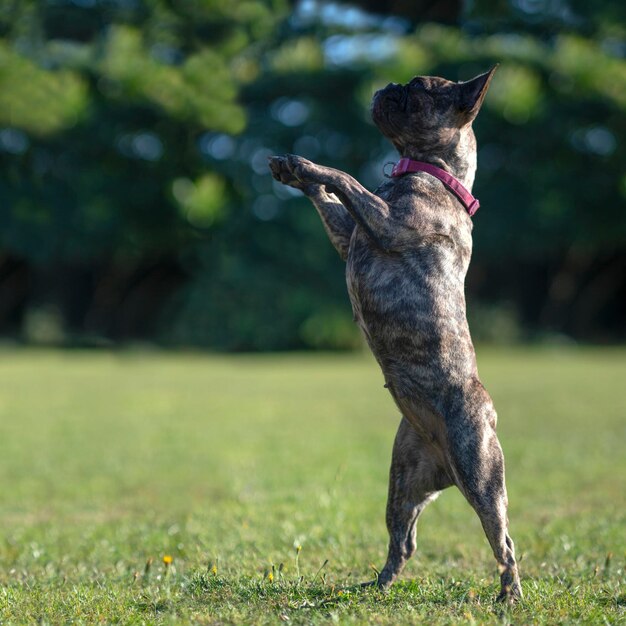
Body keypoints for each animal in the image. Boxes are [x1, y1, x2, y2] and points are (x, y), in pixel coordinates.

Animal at [266, 64, 520, 600]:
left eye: (420, 90)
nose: (388, 86)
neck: (431, 174)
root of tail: (444, 465)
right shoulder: (351, 235)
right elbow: (333, 202)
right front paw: (293, 172)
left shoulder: (385, 225)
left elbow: (344, 178)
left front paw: (306, 165)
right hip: (403, 479)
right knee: (403, 541)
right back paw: (375, 586)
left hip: (482, 475)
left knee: (504, 541)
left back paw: (509, 596)